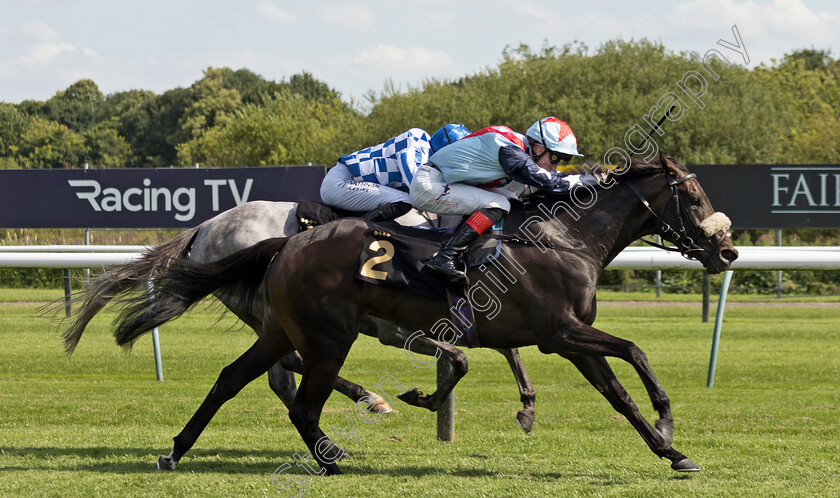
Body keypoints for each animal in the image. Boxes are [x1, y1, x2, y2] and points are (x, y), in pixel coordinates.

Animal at [65, 155, 736, 474]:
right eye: (694, 194)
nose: (727, 250)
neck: (560, 237)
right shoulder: (561, 332)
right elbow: (634, 352)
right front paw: (668, 420)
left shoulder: (566, 337)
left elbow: (616, 392)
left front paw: (671, 451)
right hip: (325, 335)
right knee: (298, 395)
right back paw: (336, 450)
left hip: (279, 326)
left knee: (237, 378)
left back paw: (175, 452)